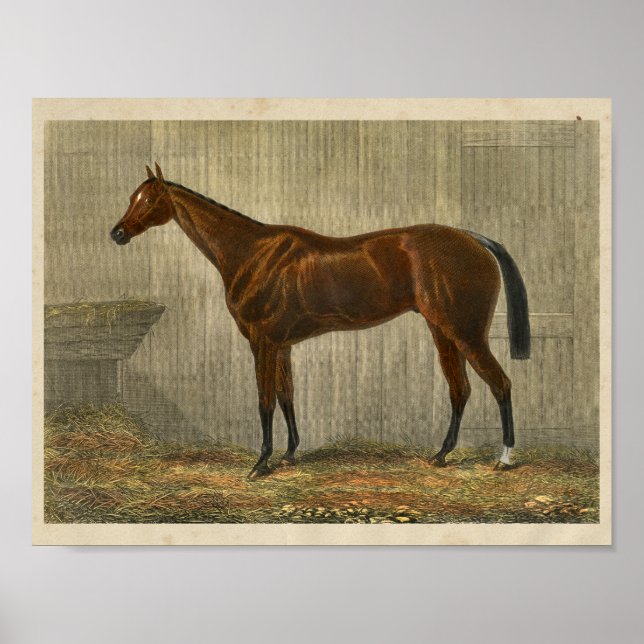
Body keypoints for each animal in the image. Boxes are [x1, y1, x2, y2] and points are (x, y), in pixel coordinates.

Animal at [111, 163, 530, 479]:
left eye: (149, 199)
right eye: (132, 198)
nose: (117, 233)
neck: (252, 253)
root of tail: (473, 239)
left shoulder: (262, 342)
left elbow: (265, 400)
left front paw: (261, 463)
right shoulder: (281, 345)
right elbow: (287, 396)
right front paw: (288, 455)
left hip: (467, 333)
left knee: (500, 384)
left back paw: (504, 458)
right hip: (443, 331)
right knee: (460, 390)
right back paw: (441, 455)